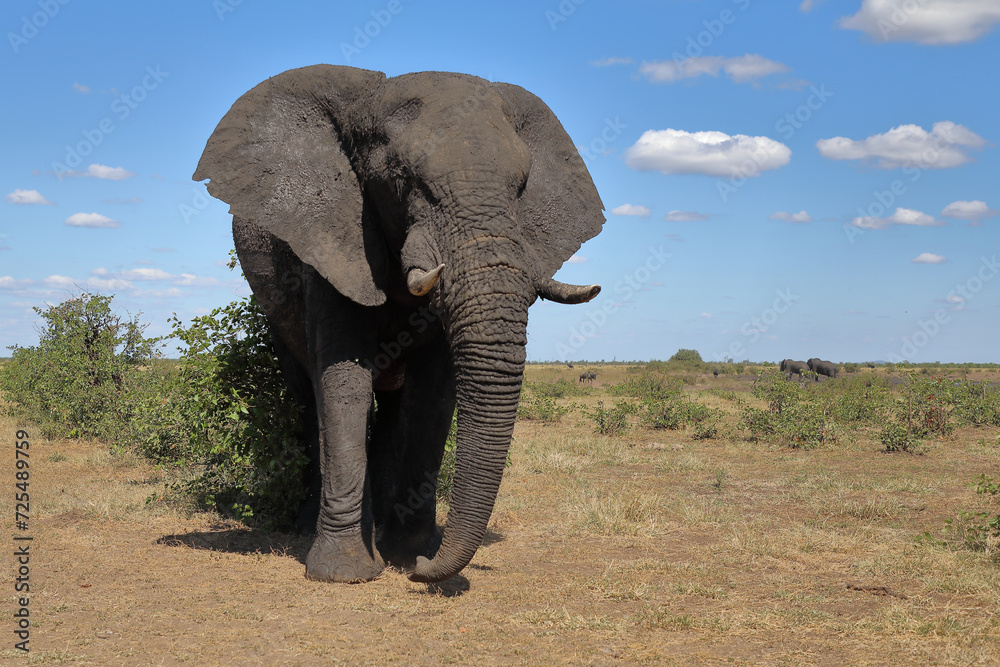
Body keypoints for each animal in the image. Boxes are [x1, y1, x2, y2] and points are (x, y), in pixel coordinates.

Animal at [193, 65, 605, 584]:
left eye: (521, 186)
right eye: (403, 180)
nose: (428, 568)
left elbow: (434, 392)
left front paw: (410, 556)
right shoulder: (332, 240)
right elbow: (344, 376)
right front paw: (344, 573)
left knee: (391, 406)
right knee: (308, 395)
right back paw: (308, 528)